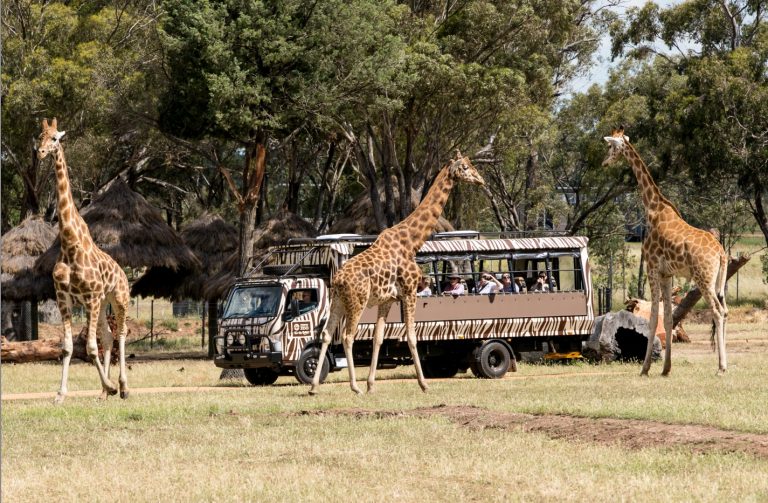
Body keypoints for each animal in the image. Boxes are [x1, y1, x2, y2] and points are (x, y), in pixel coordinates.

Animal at [37, 118, 131, 404]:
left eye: (55, 138)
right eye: (39, 136)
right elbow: (68, 348)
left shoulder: (91, 296)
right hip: (102, 303)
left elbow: (89, 348)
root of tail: (124, 273)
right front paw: (59, 395)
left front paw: (111, 386)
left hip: (118, 298)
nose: (40, 152)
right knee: (108, 337)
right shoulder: (64, 298)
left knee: (121, 333)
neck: (69, 242)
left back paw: (122, 387)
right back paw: (103, 393)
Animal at [310, 151, 485, 394]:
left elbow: (378, 338)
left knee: (326, 334)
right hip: (357, 301)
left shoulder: (388, 300)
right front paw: (423, 384)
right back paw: (354, 387)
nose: (481, 180)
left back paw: (314, 386)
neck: (411, 242)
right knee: (347, 336)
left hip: (337, 301)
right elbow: (411, 336)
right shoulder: (410, 292)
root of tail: (338, 280)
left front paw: (371, 384)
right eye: (466, 167)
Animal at [602, 128, 728, 376]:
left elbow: (652, 319)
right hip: (717, 282)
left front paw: (645, 368)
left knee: (718, 312)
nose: (604, 163)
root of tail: (721, 253)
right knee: (725, 311)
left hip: (704, 279)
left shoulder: (651, 267)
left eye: (611, 146)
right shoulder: (667, 274)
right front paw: (666, 368)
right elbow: (668, 318)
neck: (652, 208)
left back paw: (721, 367)